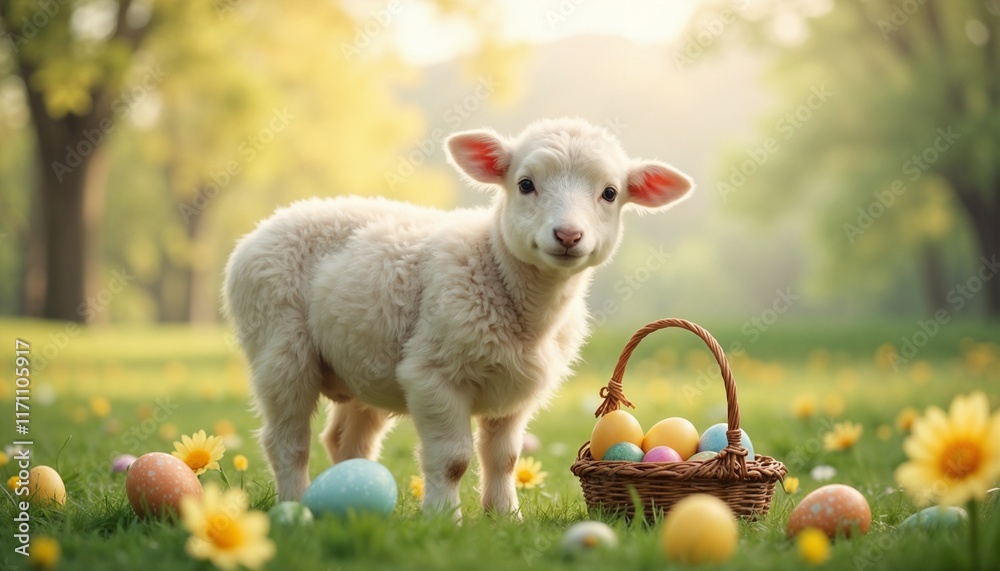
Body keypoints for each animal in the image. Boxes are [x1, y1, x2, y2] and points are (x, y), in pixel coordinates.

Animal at [223, 117, 693, 519]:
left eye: (610, 193)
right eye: (525, 184)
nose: (568, 235)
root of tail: (260, 229)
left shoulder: (516, 392)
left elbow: (504, 459)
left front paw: (506, 517)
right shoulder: (431, 374)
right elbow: (453, 460)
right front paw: (443, 519)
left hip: (360, 360)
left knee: (345, 440)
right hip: (278, 347)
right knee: (287, 442)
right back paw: (294, 505)